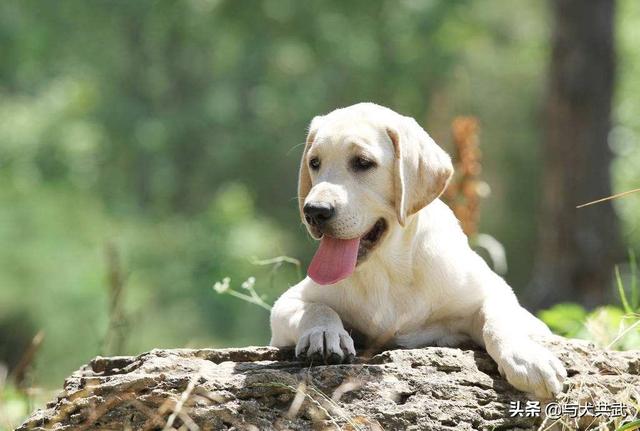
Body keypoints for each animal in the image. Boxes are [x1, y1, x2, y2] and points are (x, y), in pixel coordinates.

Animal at [270, 104, 564, 398]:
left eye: (363, 162)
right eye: (314, 163)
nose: (314, 211)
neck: (389, 270)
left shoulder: (498, 294)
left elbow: (499, 317)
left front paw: (527, 358)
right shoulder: (287, 303)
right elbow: (316, 308)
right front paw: (323, 334)